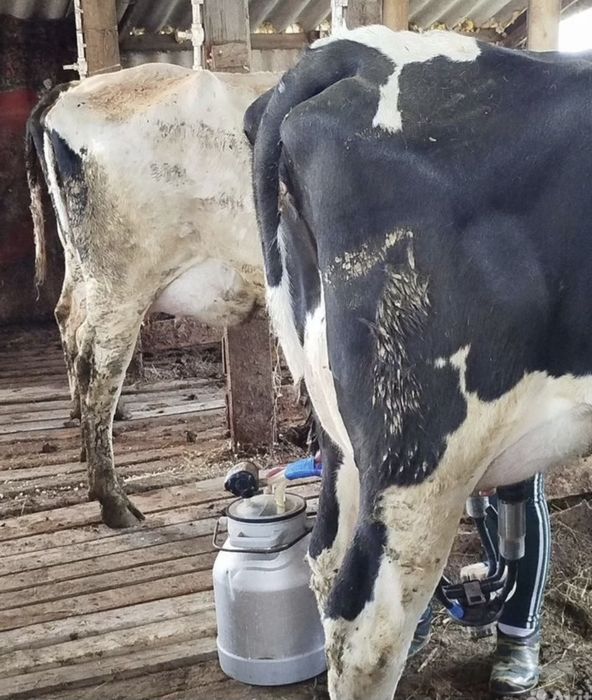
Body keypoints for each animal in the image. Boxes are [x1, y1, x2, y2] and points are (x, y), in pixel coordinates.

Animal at [26, 63, 279, 528]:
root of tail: (70, 90)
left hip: (85, 271)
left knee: (68, 322)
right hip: (122, 287)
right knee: (97, 371)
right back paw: (113, 501)